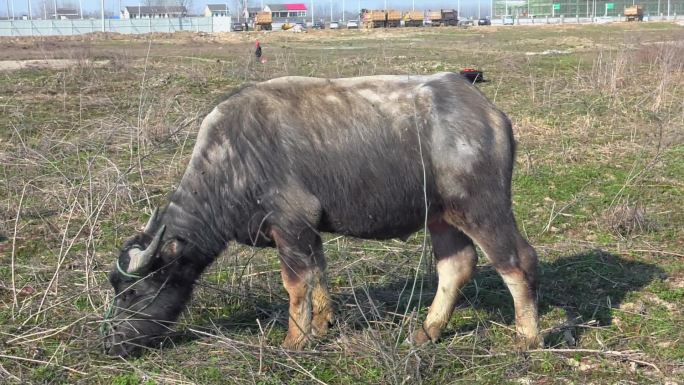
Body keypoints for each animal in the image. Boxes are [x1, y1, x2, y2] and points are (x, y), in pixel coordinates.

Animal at [103, 73, 540, 356]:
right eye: (116, 289)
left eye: (135, 292)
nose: (110, 343)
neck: (231, 163)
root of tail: (489, 113)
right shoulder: (307, 232)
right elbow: (317, 275)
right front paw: (323, 323)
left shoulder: (289, 223)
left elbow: (296, 285)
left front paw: (295, 340)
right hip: (441, 216)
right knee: (456, 266)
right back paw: (426, 332)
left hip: (481, 208)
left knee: (517, 261)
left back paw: (528, 336)